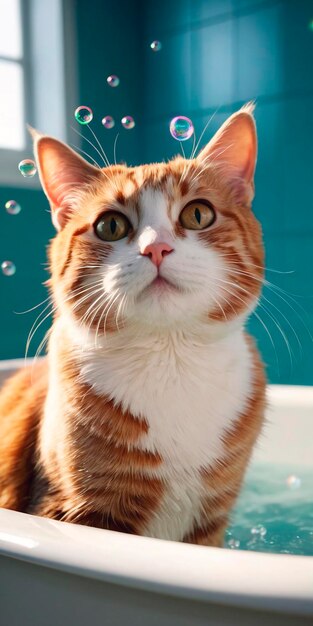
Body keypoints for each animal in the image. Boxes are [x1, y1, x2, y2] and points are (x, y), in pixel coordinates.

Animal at [0, 105, 264, 544]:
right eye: (110, 225)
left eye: (198, 214)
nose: (156, 248)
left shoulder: (209, 524)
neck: (170, 358)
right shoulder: (77, 509)